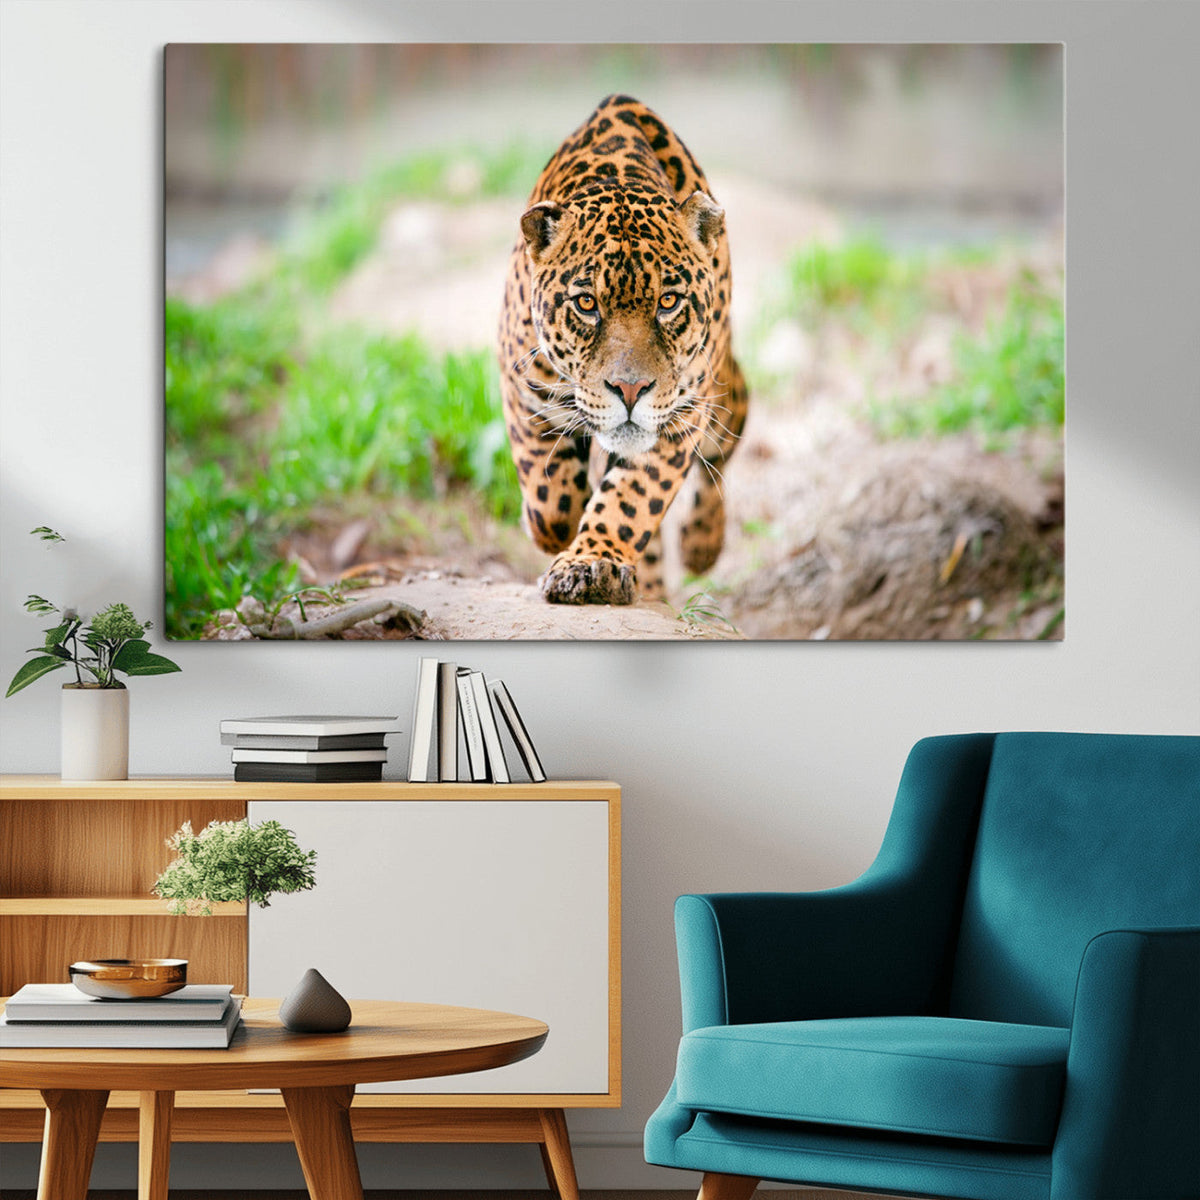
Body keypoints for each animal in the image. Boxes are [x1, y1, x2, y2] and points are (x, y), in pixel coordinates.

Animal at [497, 94, 748, 605]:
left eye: (668, 302)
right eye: (586, 304)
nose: (630, 390)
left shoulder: (680, 417)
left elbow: (630, 500)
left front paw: (592, 563)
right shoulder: (522, 387)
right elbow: (550, 500)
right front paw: (554, 531)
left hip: (722, 394)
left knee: (726, 439)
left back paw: (701, 545)